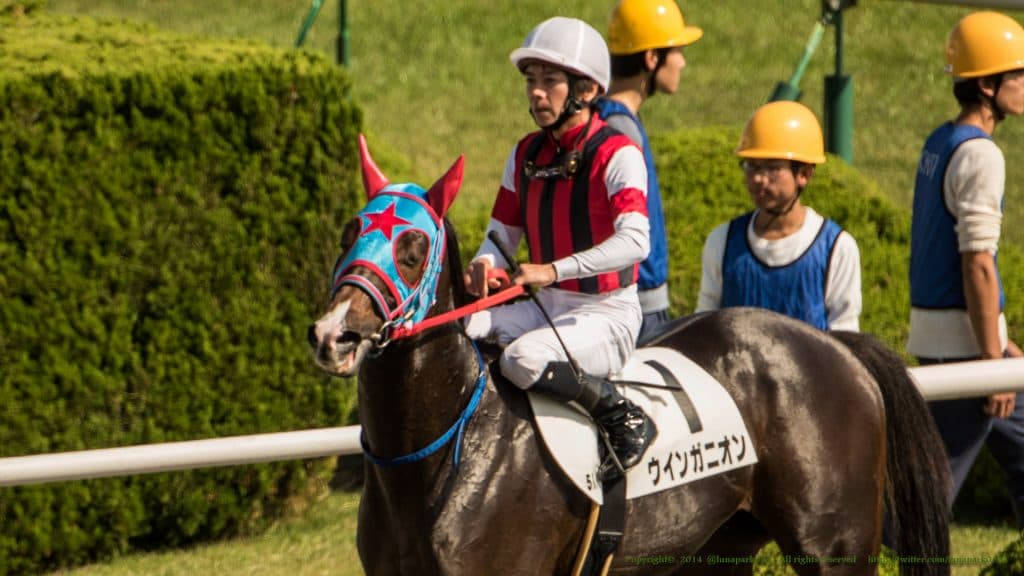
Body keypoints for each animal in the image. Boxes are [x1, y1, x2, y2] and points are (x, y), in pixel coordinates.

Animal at [309, 137, 952, 575]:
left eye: (414, 246)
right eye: (347, 232)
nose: (335, 334)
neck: (438, 451)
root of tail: (835, 344)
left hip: (835, 550)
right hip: (719, 549)